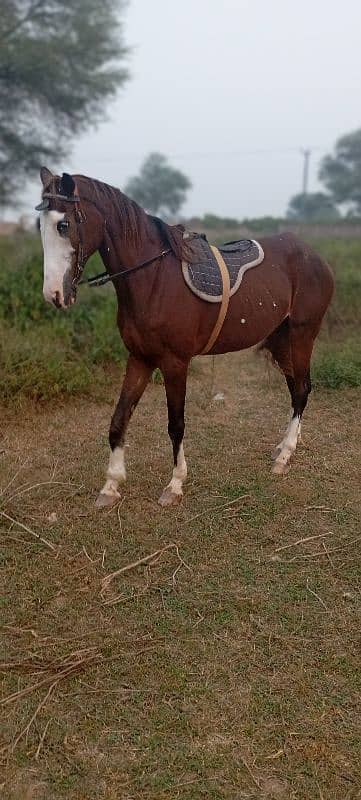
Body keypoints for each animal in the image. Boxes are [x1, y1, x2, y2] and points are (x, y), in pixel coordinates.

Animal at [35, 167, 332, 506]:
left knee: (303, 389)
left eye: (64, 224)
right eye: (39, 225)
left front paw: (175, 484)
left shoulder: (175, 363)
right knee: (296, 389)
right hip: (282, 341)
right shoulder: (140, 359)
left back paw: (285, 456)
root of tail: (315, 256)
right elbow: (118, 420)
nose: (54, 295)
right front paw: (111, 485)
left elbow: (176, 424)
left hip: (302, 334)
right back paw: (285, 446)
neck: (154, 279)